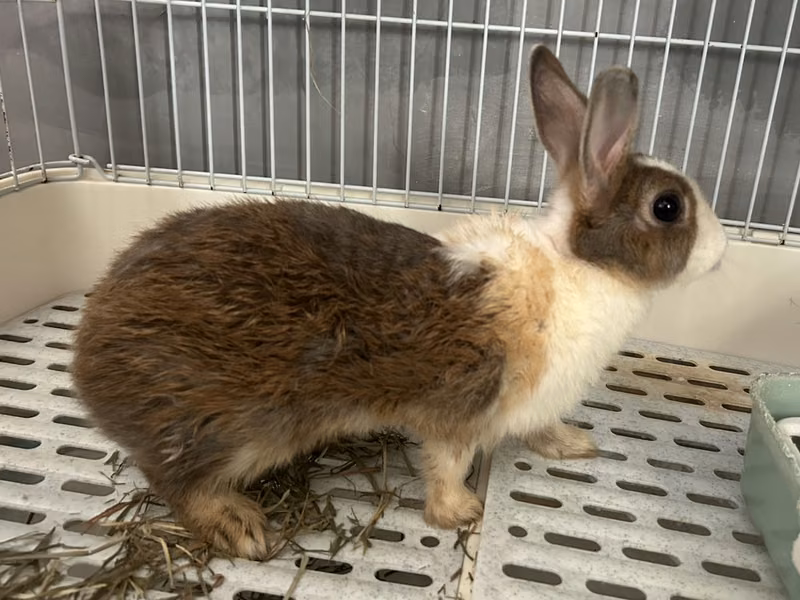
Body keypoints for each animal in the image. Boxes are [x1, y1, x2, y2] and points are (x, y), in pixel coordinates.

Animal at [71, 44, 727, 560]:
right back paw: (239, 526)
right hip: (230, 431)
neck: (576, 268)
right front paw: (460, 513)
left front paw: (573, 445)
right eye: (668, 207)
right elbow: (446, 464)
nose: (722, 253)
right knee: (175, 482)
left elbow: (538, 429)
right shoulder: (461, 408)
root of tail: (88, 360)